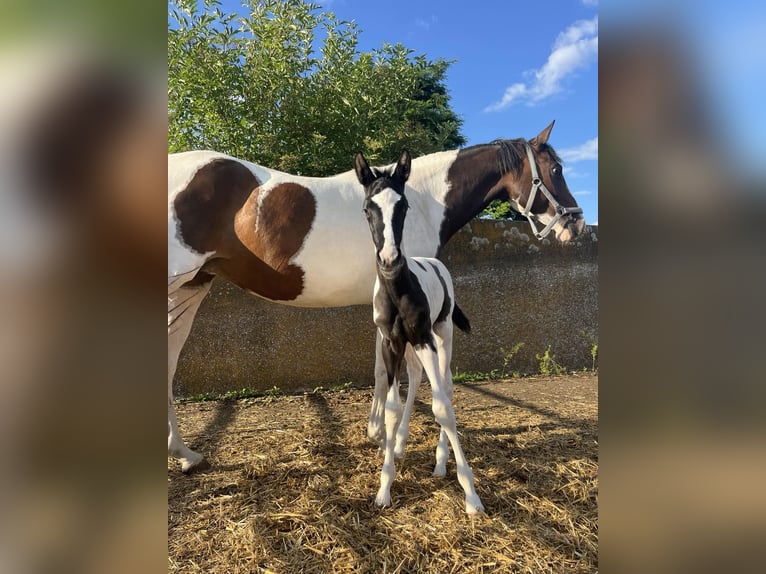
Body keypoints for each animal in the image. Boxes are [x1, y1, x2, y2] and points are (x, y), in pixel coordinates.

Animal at [170, 120, 588, 472]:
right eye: (555, 170)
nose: (577, 223)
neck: (423, 202)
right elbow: (411, 374)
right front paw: (396, 441)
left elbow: (382, 370)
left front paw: (376, 431)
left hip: (192, 287)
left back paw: (185, 454)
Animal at [356, 151, 486, 516]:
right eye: (367, 208)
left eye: (403, 206)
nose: (389, 259)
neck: (398, 289)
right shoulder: (391, 342)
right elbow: (390, 408)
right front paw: (384, 488)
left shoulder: (425, 337)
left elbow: (442, 407)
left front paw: (471, 495)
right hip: (411, 346)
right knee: (416, 377)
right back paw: (401, 444)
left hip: (442, 333)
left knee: (447, 385)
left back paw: (441, 462)